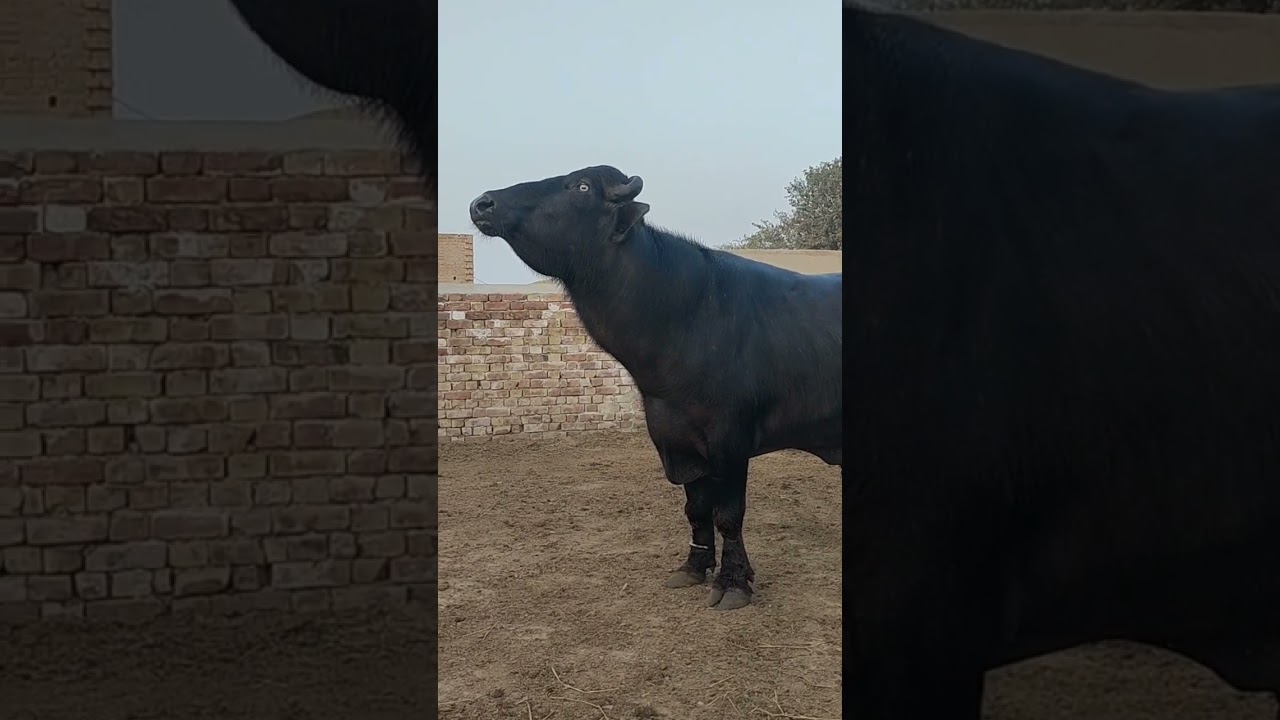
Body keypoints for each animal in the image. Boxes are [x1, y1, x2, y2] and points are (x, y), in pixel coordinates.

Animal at [469, 165, 843, 611]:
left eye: (581, 186)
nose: (483, 203)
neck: (685, 315)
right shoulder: (675, 440)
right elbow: (696, 510)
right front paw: (694, 568)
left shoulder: (731, 442)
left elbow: (728, 515)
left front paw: (734, 583)